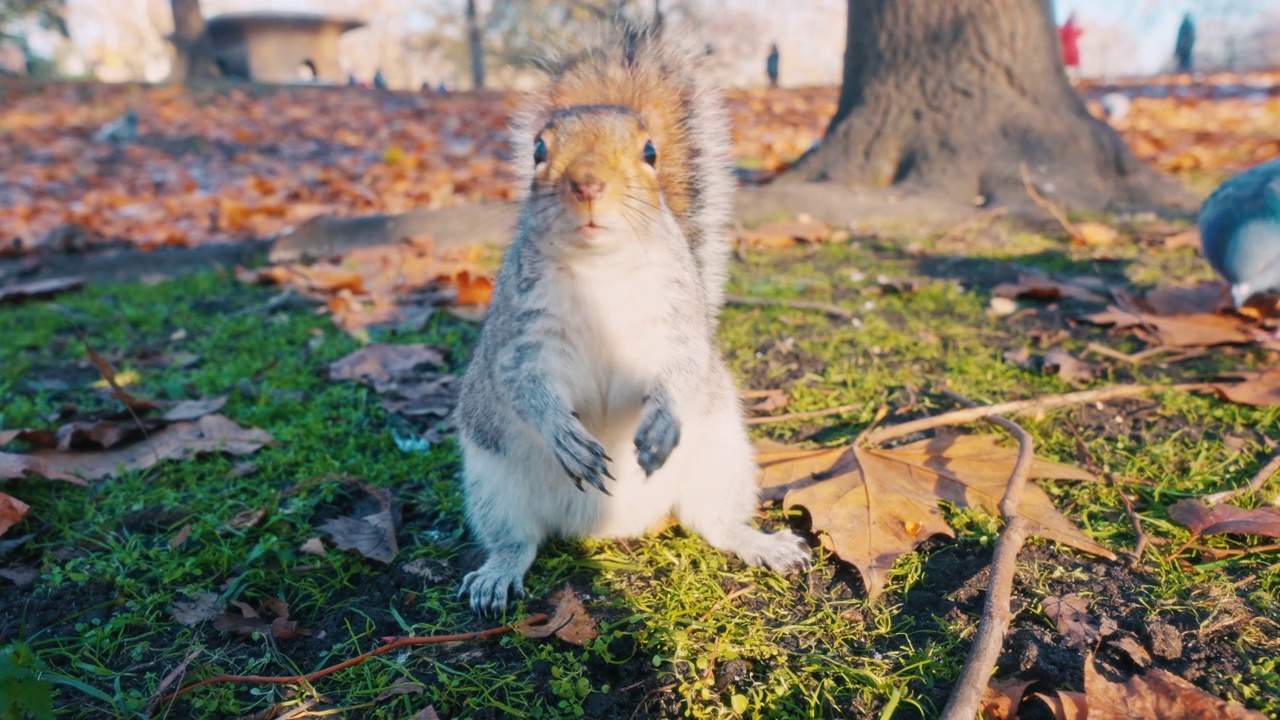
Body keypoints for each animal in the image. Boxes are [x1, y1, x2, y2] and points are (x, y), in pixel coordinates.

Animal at [455, 22, 803, 609]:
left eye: (650, 151)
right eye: (538, 150)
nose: (588, 184)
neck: (600, 271)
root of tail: (609, 527)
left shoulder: (678, 319)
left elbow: (685, 368)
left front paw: (662, 420)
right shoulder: (520, 331)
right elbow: (522, 381)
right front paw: (562, 433)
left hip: (721, 462)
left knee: (715, 523)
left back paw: (761, 544)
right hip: (492, 484)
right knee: (517, 541)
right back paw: (496, 573)